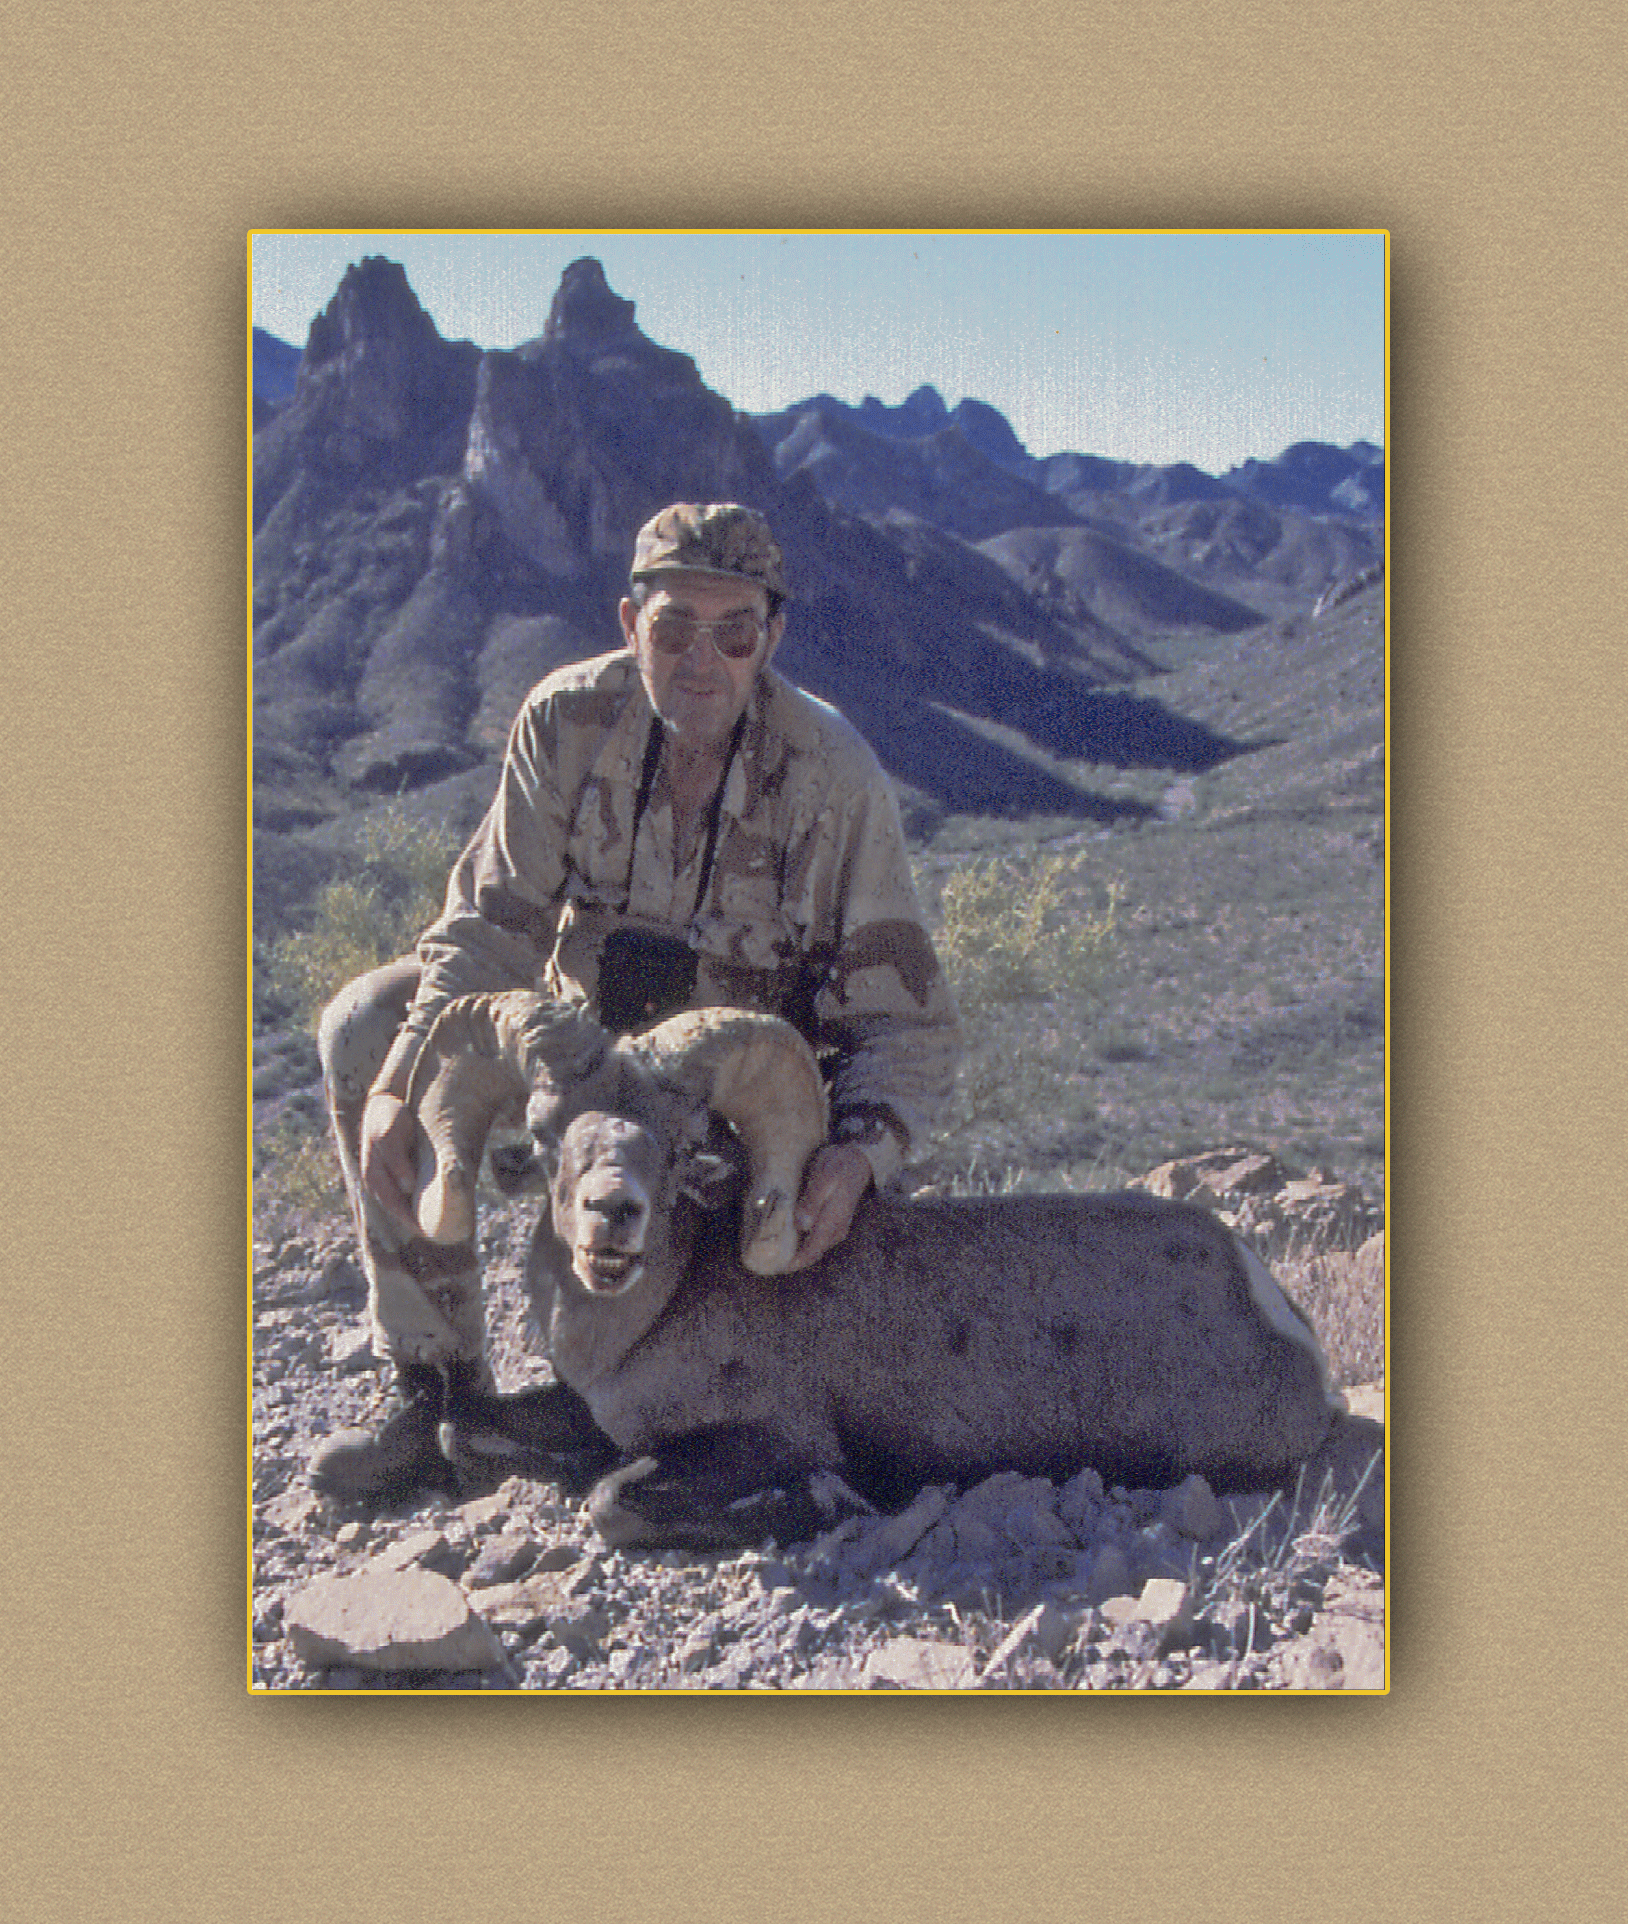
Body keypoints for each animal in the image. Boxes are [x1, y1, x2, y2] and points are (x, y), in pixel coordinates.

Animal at [403, 991, 1348, 1551]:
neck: (642, 1325)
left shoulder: (765, 1439)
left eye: (680, 1143)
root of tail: (1271, 1305)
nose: (613, 1214)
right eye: (546, 1132)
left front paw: (822, 1505)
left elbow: (610, 1500)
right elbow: (460, 1429)